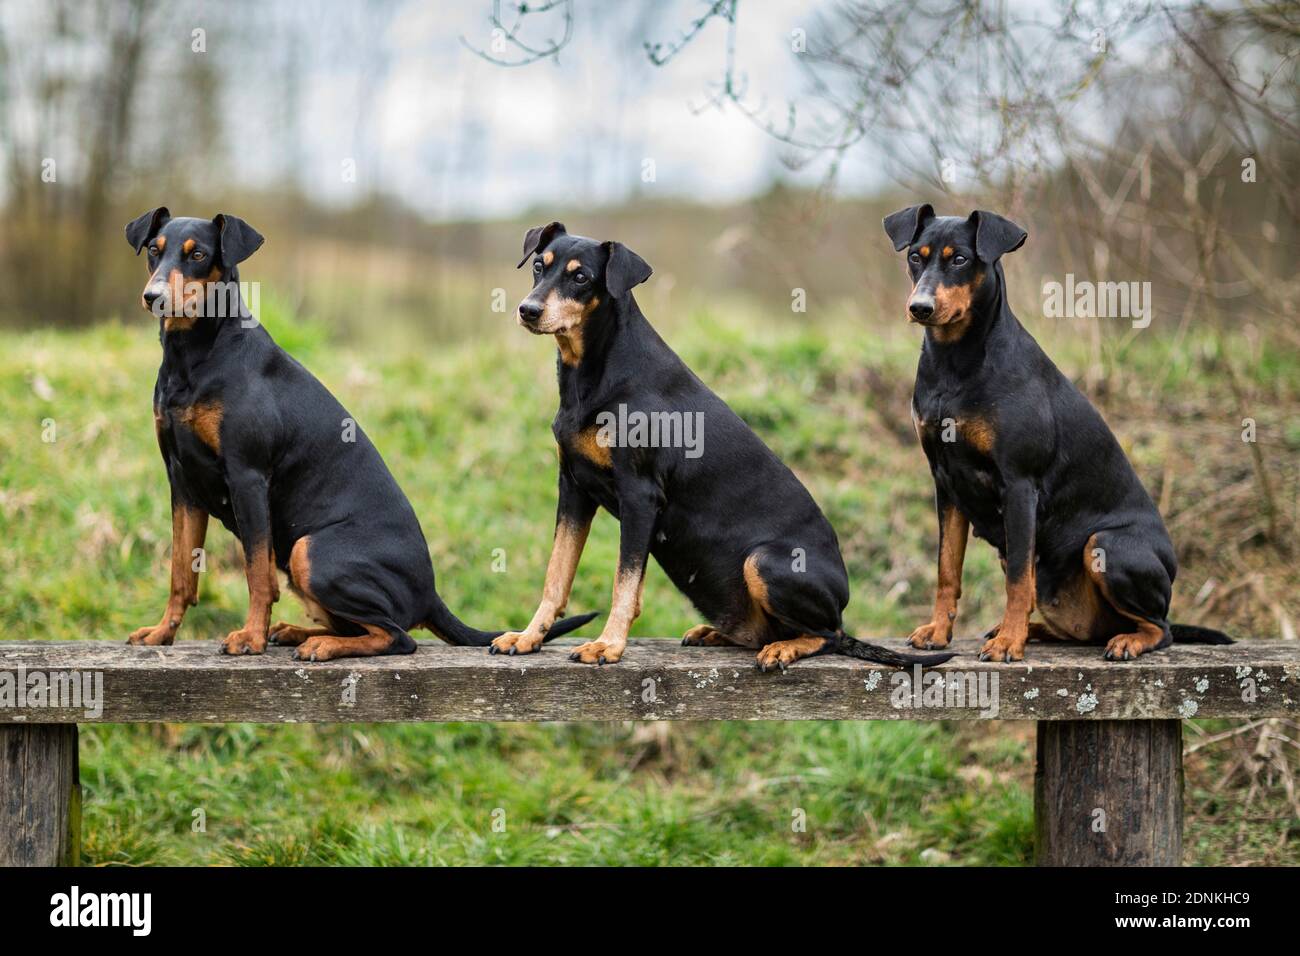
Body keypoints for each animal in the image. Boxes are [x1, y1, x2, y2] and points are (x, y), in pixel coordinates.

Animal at [122, 206, 595, 660]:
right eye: (154, 251)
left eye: (198, 254)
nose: (152, 297)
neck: (194, 357)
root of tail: (430, 595)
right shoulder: (182, 482)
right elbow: (181, 572)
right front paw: (162, 633)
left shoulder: (247, 477)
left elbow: (256, 573)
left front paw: (250, 638)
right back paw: (295, 633)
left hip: (309, 551)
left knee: (397, 636)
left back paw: (319, 645)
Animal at [488, 223, 956, 671]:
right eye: (539, 267)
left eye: (581, 277)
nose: (528, 310)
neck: (594, 373)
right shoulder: (574, 489)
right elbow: (556, 574)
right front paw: (528, 637)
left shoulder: (639, 496)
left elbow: (625, 584)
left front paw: (607, 646)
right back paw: (718, 633)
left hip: (764, 561)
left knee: (829, 635)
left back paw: (783, 649)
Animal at [883, 205, 1227, 660]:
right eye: (915, 258)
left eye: (959, 259)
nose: (920, 307)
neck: (954, 361)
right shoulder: (947, 484)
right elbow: (947, 569)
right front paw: (939, 632)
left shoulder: (1019, 485)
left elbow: (1016, 581)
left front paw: (1008, 646)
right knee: (1073, 621)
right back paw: (1028, 631)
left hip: (1105, 545)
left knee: (1160, 626)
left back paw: (1123, 641)